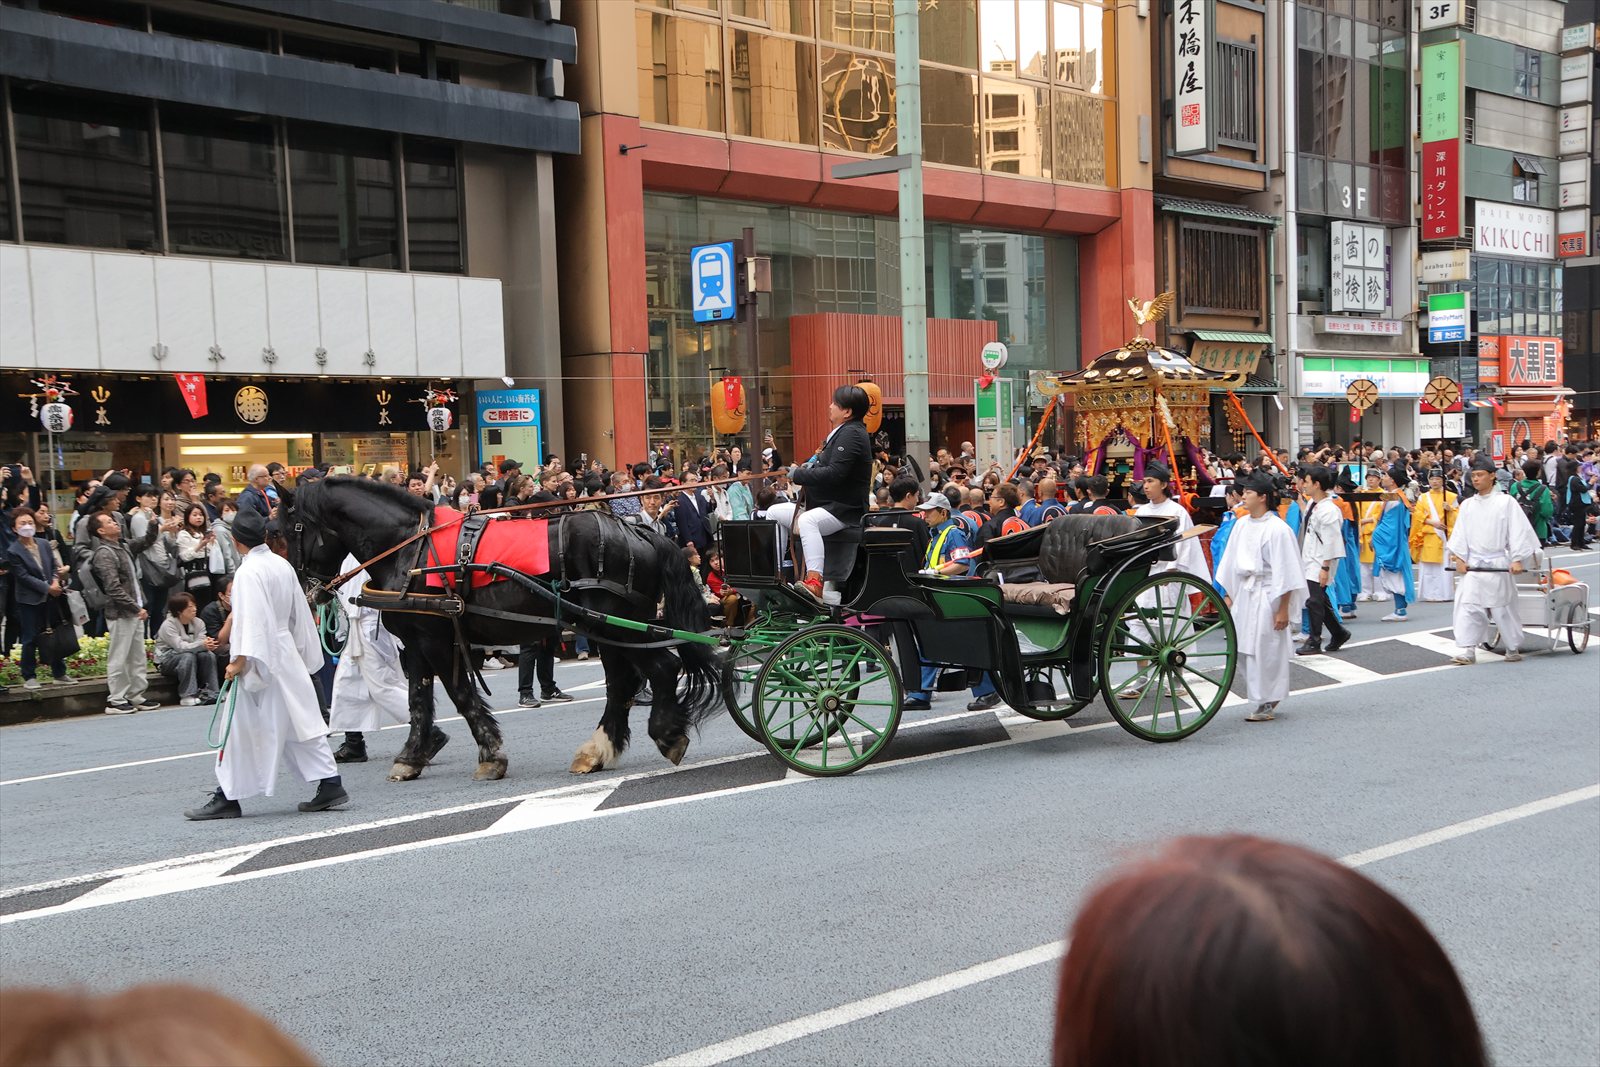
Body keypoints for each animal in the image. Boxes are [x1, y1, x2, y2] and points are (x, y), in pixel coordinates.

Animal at [285, 477, 723, 781]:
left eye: (291, 530)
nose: (306, 590)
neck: (409, 548)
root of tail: (639, 530)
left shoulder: (435, 638)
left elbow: (459, 695)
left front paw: (491, 756)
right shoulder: (416, 640)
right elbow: (417, 700)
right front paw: (411, 756)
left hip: (617, 623)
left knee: (661, 669)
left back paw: (666, 734)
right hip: (603, 625)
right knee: (622, 683)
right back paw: (598, 750)